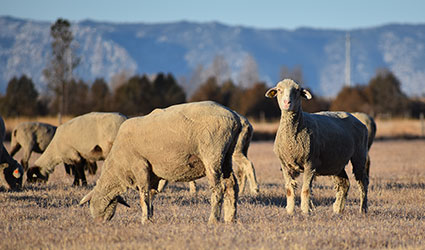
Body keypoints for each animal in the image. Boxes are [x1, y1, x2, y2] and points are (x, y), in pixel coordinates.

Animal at [79, 101, 238, 225]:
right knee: (232, 185)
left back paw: (213, 220)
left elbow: (143, 195)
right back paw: (230, 219)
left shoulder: (140, 166)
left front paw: (144, 220)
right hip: (226, 157)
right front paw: (150, 218)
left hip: (212, 155)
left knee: (218, 188)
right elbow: (151, 194)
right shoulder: (153, 173)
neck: (117, 167)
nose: (98, 222)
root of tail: (235, 119)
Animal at [264, 79, 368, 214]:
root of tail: (356, 119)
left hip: (359, 155)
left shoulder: (310, 163)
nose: (287, 102)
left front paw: (305, 211)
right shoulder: (285, 165)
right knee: (344, 184)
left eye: (297, 91)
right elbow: (289, 190)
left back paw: (363, 209)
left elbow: (306, 189)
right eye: (279, 90)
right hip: (336, 162)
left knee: (363, 182)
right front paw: (290, 211)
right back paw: (338, 210)